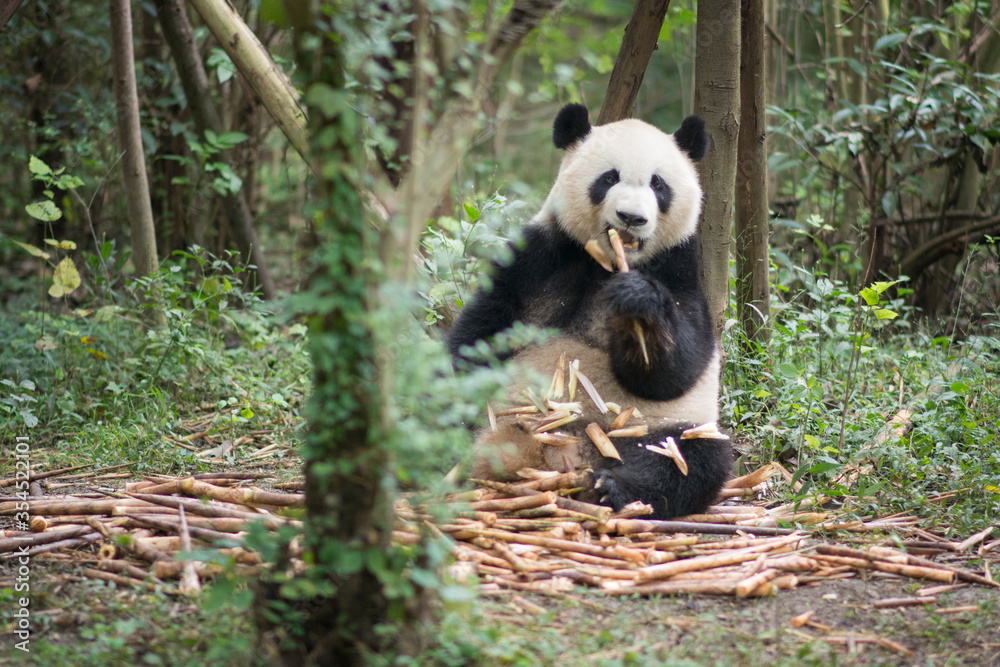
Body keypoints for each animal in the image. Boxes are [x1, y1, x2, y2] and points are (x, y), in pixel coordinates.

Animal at [447, 103, 732, 519]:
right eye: (609, 178)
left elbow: (679, 369)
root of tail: (566, 452)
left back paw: (613, 488)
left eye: (658, 185)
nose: (632, 218)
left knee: (690, 459)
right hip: (505, 412)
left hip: (648, 428)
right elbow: (485, 327)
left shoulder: (678, 270)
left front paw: (638, 306)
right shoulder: (544, 254)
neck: (606, 261)